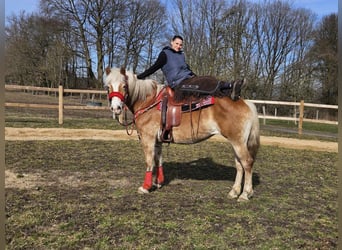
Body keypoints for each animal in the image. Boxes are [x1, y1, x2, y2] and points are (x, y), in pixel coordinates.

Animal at [104, 66, 260, 201]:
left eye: (124, 86)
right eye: (108, 87)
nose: (116, 108)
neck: (148, 101)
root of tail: (246, 103)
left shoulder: (148, 139)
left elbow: (149, 162)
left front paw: (145, 187)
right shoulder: (158, 140)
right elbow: (158, 160)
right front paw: (158, 182)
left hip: (238, 143)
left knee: (247, 163)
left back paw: (245, 194)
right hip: (236, 143)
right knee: (239, 165)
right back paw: (234, 191)